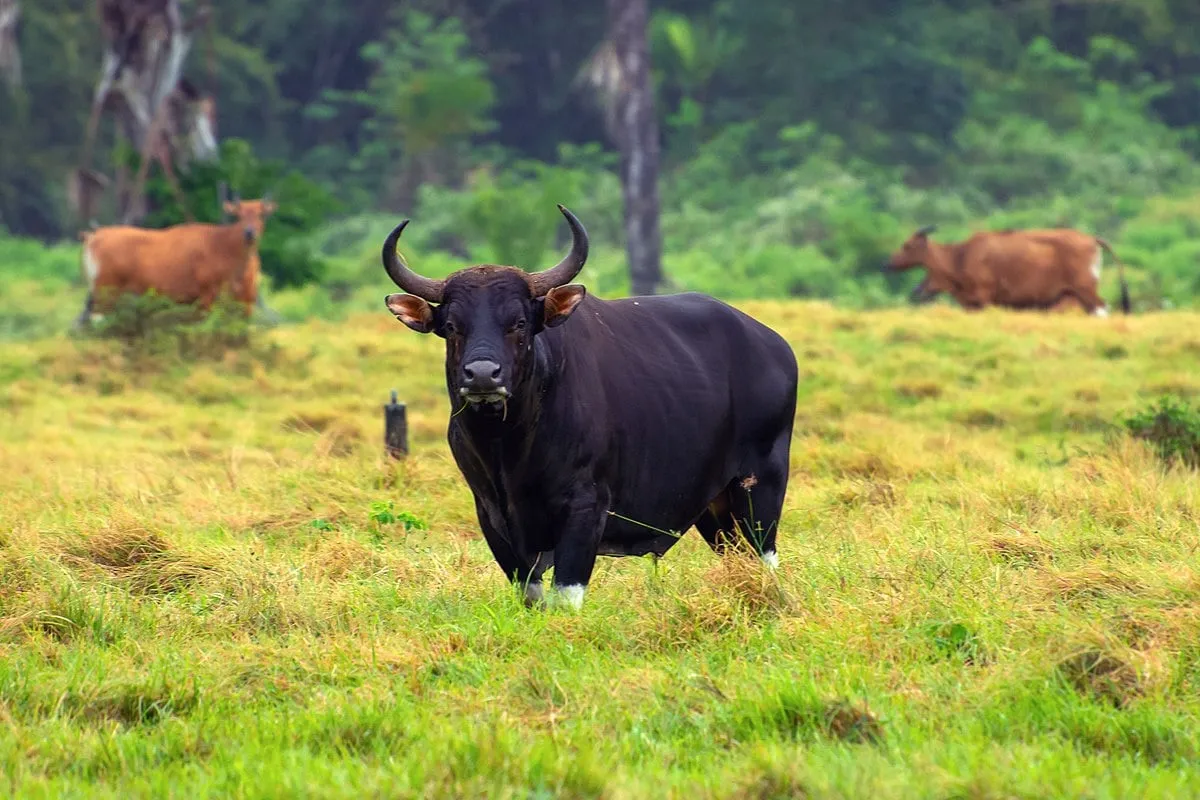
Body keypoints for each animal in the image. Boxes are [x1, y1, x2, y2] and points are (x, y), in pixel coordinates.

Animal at [381, 205, 796, 606]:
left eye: (519, 322)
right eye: (452, 326)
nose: (483, 375)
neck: (509, 447)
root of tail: (775, 346)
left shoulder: (585, 508)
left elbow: (567, 595)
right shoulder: (491, 514)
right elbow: (531, 595)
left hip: (760, 487)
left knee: (763, 556)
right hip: (714, 508)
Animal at [888, 225, 1128, 316]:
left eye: (907, 245)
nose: (887, 263)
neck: (961, 256)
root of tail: (1091, 239)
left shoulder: (984, 298)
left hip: (1086, 288)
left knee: (1102, 309)